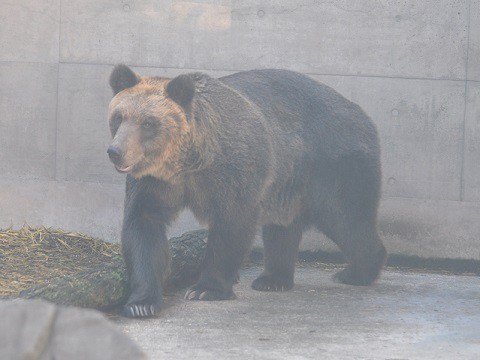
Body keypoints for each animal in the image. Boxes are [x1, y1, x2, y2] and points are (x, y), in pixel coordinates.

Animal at [108, 65, 386, 318]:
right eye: (119, 117)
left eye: (148, 122)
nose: (115, 152)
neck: (188, 162)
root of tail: (361, 113)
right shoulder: (155, 181)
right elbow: (143, 226)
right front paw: (141, 303)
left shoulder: (233, 170)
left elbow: (232, 223)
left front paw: (206, 288)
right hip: (284, 184)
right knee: (282, 229)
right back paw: (273, 279)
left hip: (331, 164)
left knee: (346, 219)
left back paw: (356, 271)